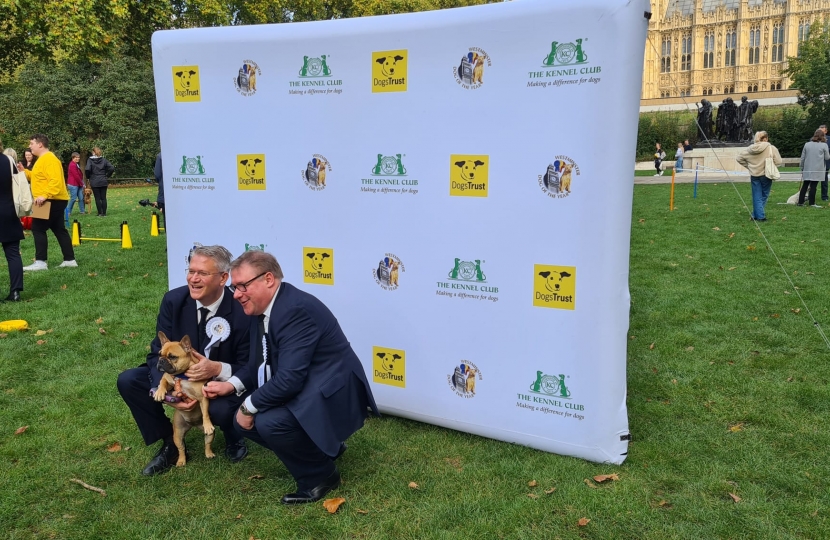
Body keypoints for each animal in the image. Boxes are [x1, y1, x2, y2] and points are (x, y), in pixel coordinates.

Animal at [153, 332, 216, 466]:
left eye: (172, 357)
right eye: (159, 354)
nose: (161, 360)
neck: (181, 376)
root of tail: (193, 425)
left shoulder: (203, 398)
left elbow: (205, 413)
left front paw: (208, 424)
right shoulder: (167, 378)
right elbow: (162, 381)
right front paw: (159, 393)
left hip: (210, 435)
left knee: (207, 443)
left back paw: (209, 453)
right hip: (177, 434)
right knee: (181, 448)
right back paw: (181, 461)